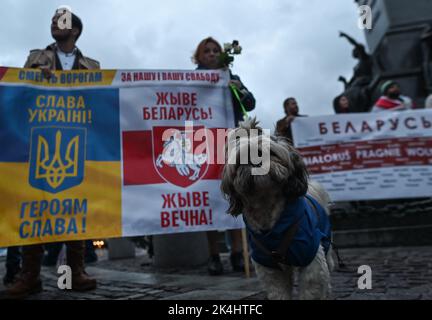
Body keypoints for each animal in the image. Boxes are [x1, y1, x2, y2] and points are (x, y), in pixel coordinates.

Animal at [221, 117, 336, 300]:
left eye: (271, 153)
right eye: (241, 159)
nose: (255, 161)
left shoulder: (311, 258)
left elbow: (312, 288)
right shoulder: (269, 267)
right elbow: (278, 291)